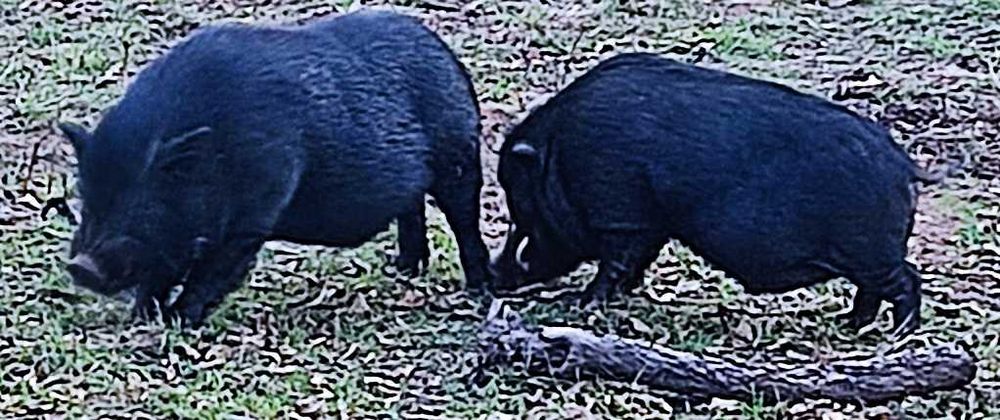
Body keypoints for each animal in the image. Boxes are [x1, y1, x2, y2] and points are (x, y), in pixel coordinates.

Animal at [59, 10, 489, 325]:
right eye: (87, 199)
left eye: (143, 204)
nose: (82, 266)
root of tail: (447, 56)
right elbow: (158, 275)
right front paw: (141, 318)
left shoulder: (255, 214)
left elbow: (213, 273)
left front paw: (177, 321)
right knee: (412, 210)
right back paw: (401, 270)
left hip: (459, 156)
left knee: (464, 219)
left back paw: (479, 289)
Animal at [491, 53, 939, 337]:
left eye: (525, 209)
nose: (497, 275)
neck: (559, 155)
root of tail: (904, 167)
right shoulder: (649, 223)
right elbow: (635, 261)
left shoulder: (618, 211)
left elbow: (613, 263)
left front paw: (585, 303)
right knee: (877, 288)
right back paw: (852, 326)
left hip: (870, 248)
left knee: (907, 279)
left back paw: (896, 336)